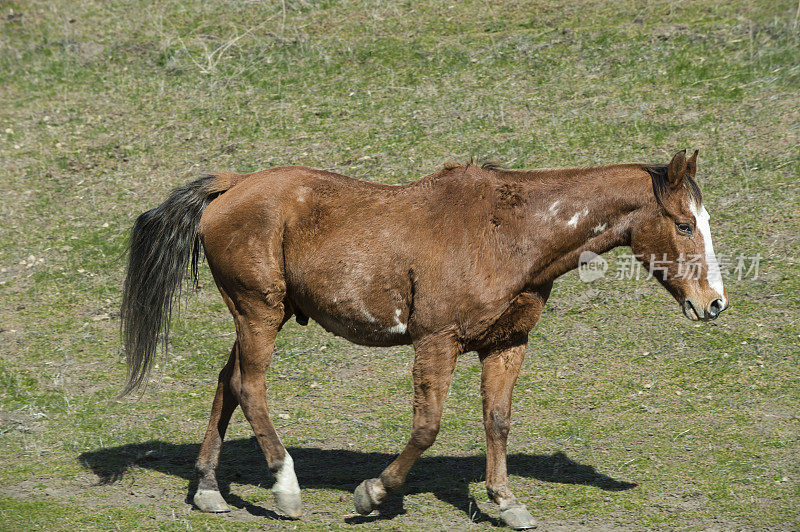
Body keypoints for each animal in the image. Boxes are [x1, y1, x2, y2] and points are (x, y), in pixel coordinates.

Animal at [122, 149, 728, 528]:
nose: (714, 303)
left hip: (256, 317)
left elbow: (497, 421)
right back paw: (285, 488)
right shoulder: (437, 342)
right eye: (684, 224)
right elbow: (427, 426)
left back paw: (207, 489)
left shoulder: (506, 344)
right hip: (259, 315)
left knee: (228, 384)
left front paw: (506, 502)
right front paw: (372, 494)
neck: (510, 233)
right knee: (251, 389)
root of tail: (232, 186)